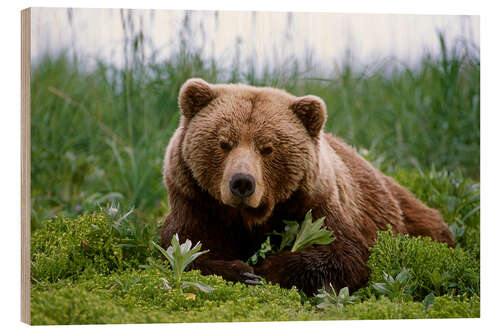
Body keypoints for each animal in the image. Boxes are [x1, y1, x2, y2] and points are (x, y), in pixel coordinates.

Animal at [159, 78, 454, 296]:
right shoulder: (196, 202)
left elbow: (345, 254)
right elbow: (183, 247)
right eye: (224, 143)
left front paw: (267, 269)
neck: (249, 217)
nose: (242, 182)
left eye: (267, 148)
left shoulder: (315, 202)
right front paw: (242, 271)